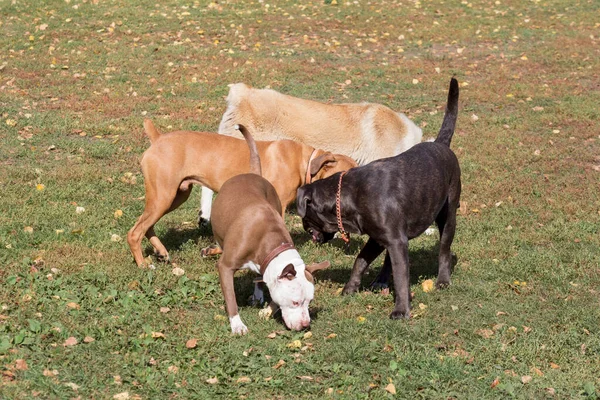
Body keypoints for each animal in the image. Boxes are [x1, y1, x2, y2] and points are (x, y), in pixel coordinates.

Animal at [125, 119, 356, 268]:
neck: (304, 162)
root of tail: (158, 138)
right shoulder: (274, 209)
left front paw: (212, 250)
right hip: (163, 197)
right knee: (135, 232)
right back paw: (142, 264)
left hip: (174, 197)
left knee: (146, 226)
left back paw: (161, 251)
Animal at [210, 123, 332, 332]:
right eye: (295, 302)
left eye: (310, 301)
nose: (305, 325)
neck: (270, 240)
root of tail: (252, 173)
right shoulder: (225, 266)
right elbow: (231, 297)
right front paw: (237, 324)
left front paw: (267, 309)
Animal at [298, 78, 462, 318]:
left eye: (305, 215)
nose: (303, 226)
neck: (348, 196)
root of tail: (440, 143)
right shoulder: (378, 238)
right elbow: (360, 261)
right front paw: (349, 289)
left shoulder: (395, 239)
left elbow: (402, 276)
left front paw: (401, 310)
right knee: (389, 260)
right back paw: (381, 280)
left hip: (448, 216)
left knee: (444, 249)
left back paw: (442, 280)